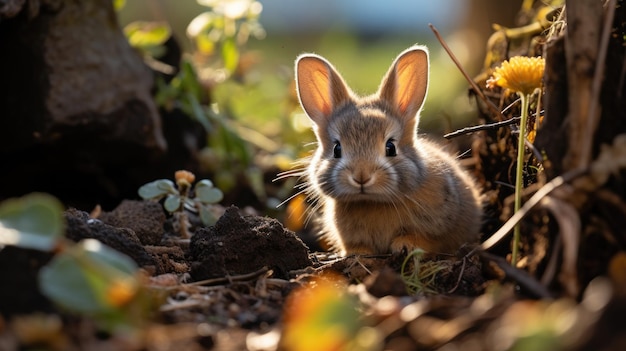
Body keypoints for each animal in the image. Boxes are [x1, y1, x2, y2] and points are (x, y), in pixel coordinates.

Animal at [282, 46, 482, 256]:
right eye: (337, 149)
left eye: (390, 147)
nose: (361, 176)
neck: (373, 201)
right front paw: (359, 253)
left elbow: (431, 240)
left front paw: (405, 244)